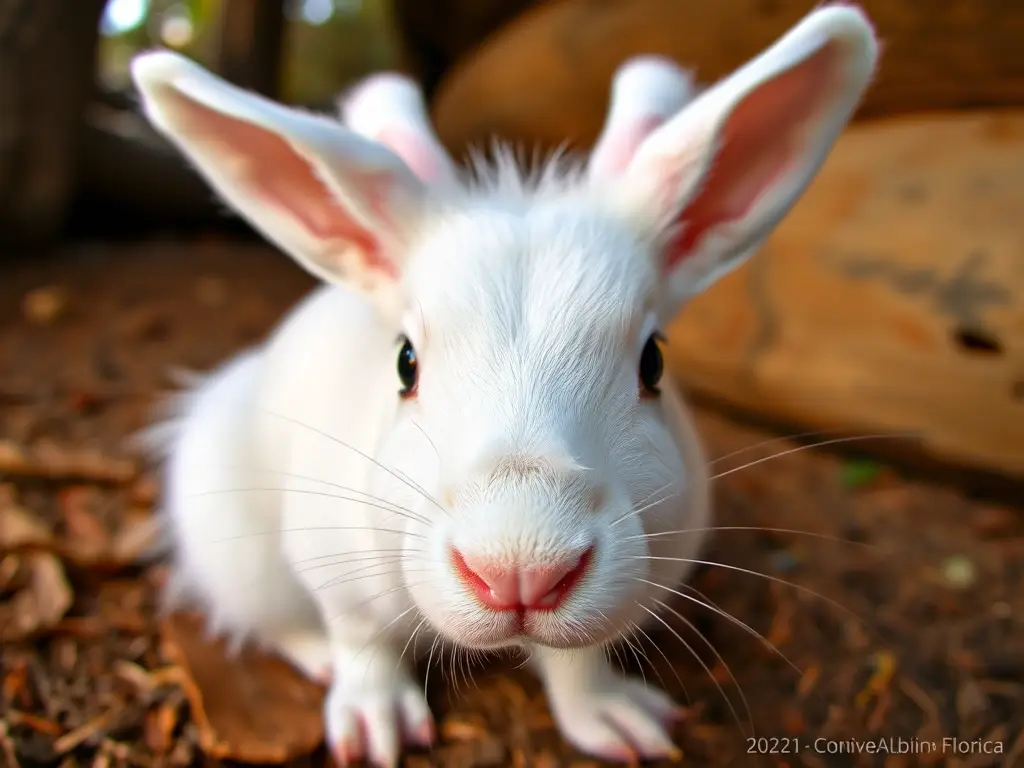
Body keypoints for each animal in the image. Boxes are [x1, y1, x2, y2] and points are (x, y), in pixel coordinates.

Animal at [130, 4, 878, 766]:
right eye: (405, 363)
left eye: (653, 363)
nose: (520, 572)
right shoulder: (339, 577)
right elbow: (363, 642)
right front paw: (375, 726)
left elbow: (578, 663)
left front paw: (621, 726)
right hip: (233, 547)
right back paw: (317, 659)